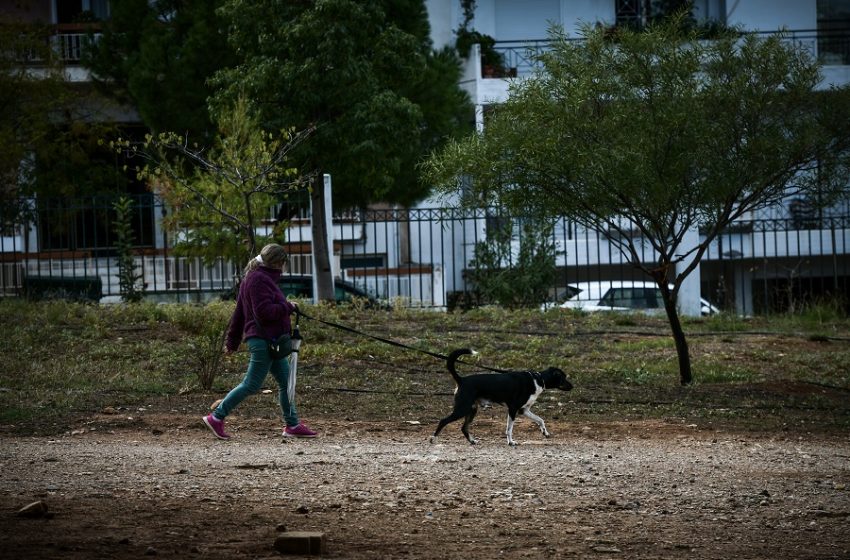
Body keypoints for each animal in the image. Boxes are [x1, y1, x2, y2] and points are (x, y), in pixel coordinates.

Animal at [430, 350, 568, 446]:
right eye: (564, 378)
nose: (571, 386)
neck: (539, 379)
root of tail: (461, 379)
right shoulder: (513, 409)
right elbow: (509, 429)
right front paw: (511, 442)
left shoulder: (524, 410)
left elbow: (540, 420)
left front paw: (545, 432)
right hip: (462, 409)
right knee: (443, 421)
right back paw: (433, 438)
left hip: (472, 409)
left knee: (464, 428)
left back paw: (472, 441)